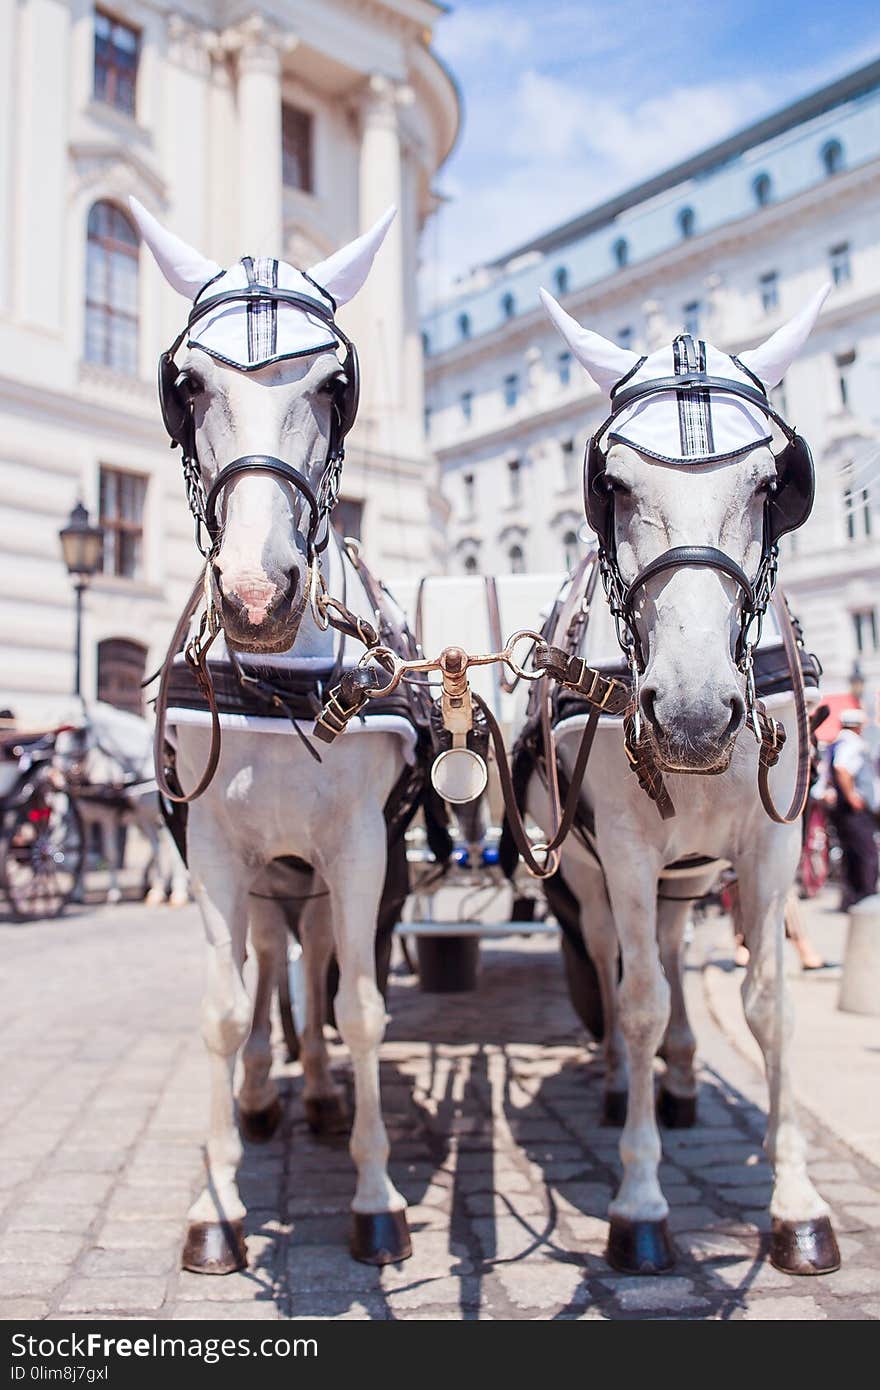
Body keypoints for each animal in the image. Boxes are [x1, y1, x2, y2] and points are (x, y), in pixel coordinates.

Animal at [131, 201, 414, 1273]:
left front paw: (375, 1196)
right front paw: (215, 1205)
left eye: (334, 385)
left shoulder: (362, 846)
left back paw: (325, 1096)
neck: (283, 679)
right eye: (188, 386)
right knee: (264, 972)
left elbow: (360, 1008)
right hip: (263, 872)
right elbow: (221, 1010)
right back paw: (259, 1094)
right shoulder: (215, 848)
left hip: (322, 871)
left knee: (321, 960)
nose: (258, 597)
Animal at [525, 287, 839, 1273]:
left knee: (666, 948)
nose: (695, 715)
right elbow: (635, 1004)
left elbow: (769, 1007)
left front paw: (797, 1201)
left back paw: (686, 1079)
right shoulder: (625, 852)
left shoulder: (771, 845)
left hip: (689, 875)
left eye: (773, 486)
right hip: (594, 875)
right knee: (614, 960)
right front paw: (640, 1202)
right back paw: (626, 1085)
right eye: (614, 486)